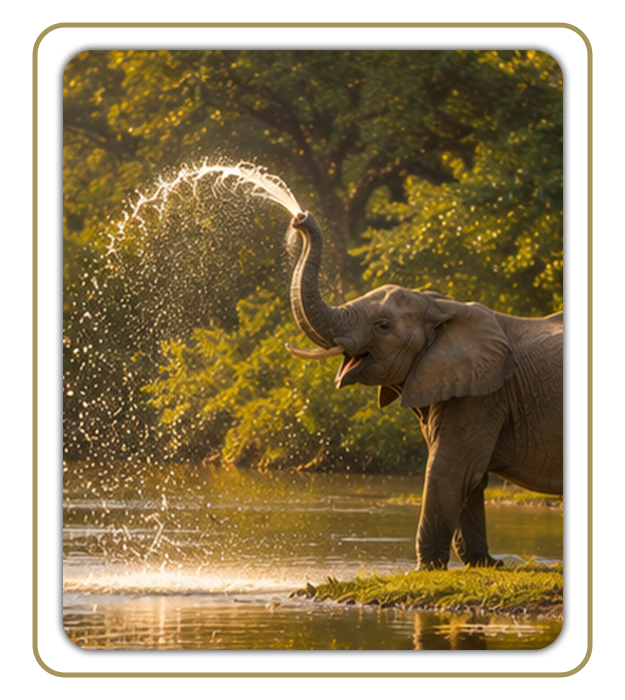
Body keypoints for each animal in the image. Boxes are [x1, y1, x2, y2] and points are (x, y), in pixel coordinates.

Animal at [285, 211, 563, 570]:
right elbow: (471, 478)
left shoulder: (481, 396)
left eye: (383, 326)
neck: (439, 306)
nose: (300, 218)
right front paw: (486, 564)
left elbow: (451, 470)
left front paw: (424, 569)